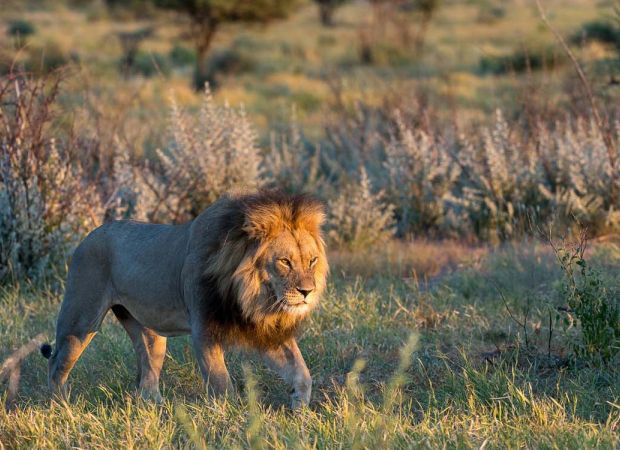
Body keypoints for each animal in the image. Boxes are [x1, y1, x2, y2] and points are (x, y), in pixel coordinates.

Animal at [40, 190, 326, 408]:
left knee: (146, 377)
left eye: (312, 261)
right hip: (80, 319)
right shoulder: (204, 330)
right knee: (56, 364)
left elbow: (302, 373)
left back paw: (157, 409)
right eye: (284, 261)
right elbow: (221, 382)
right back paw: (61, 407)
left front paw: (299, 410)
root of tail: (88, 236)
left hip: (148, 332)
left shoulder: (264, 330)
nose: (307, 292)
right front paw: (234, 417)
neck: (250, 297)